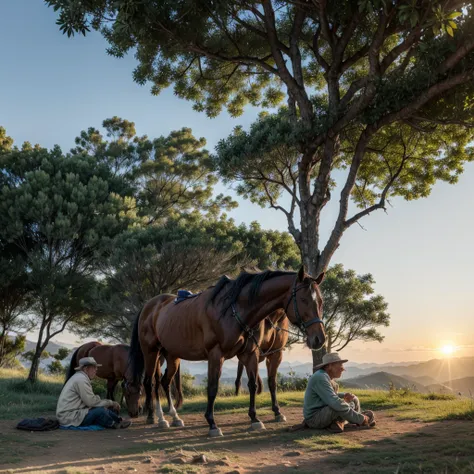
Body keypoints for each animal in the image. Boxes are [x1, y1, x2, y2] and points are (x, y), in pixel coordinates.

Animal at [128, 264, 324, 436]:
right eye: (304, 299)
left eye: (320, 301)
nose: (319, 339)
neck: (233, 308)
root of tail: (149, 306)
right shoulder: (216, 354)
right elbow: (213, 387)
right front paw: (212, 423)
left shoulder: (250, 354)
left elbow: (253, 385)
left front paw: (255, 419)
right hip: (151, 352)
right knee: (150, 382)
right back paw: (157, 417)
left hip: (172, 356)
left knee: (164, 382)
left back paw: (174, 417)